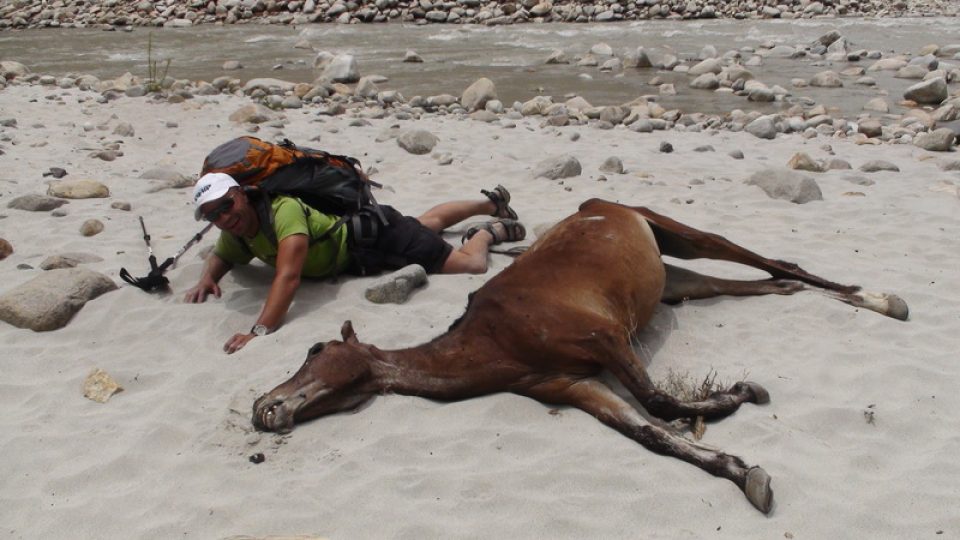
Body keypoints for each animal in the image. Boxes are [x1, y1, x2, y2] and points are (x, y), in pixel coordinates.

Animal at [249, 199, 908, 516]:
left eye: (314, 348)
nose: (263, 407)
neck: (493, 340)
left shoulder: (605, 339)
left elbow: (659, 403)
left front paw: (740, 397)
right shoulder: (569, 386)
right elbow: (651, 436)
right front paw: (742, 471)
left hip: (680, 234)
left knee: (774, 262)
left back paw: (884, 299)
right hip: (678, 282)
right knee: (773, 284)